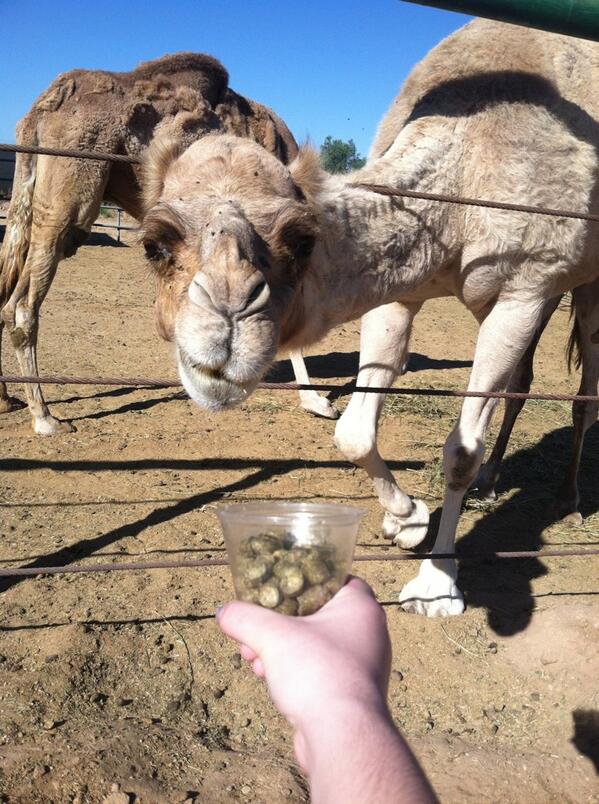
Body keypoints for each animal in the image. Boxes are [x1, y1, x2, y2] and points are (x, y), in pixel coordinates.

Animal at [0, 51, 338, 434]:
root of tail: (39, 110)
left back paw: (8, 400)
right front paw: (316, 402)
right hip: (71, 194)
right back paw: (44, 417)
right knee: (22, 305)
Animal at [140, 18, 599, 616]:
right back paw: (494, 481)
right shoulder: (400, 292)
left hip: (583, 285)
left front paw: (437, 584)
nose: (225, 327)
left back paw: (570, 499)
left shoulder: (526, 287)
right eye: (154, 246)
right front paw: (407, 520)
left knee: (584, 388)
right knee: (521, 383)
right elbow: (353, 432)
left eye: (301, 238)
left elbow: (461, 449)